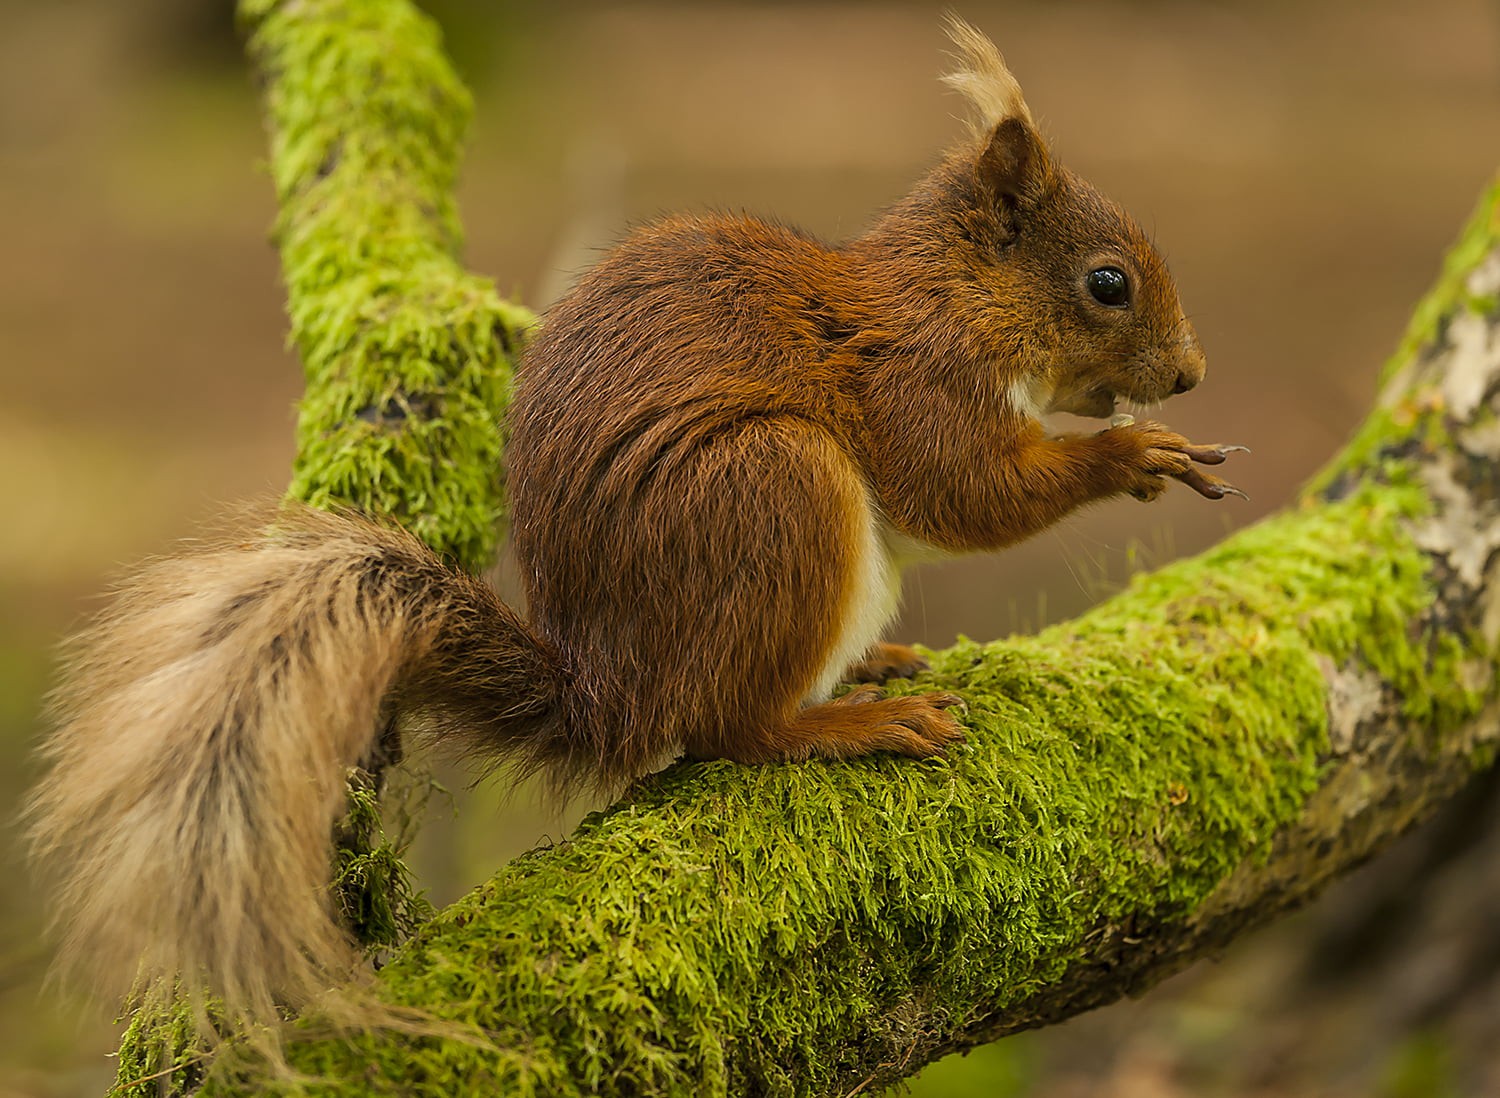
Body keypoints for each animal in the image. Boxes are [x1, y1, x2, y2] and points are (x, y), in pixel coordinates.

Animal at [26, 19, 1242, 1038]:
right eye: (1106, 284)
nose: (1191, 374)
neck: (954, 297)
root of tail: (614, 690)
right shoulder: (917, 384)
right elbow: (961, 495)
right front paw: (1130, 457)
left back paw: (870, 665)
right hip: (775, 487)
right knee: (725, 730)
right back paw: (848, 722)